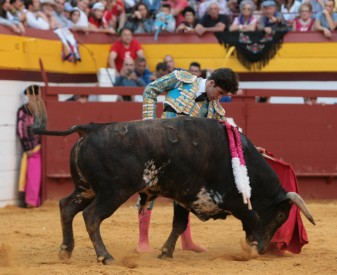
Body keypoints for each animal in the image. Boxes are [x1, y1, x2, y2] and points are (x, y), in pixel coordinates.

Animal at [30, 116, 314, 266]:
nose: (265, 250)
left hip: (85, 188)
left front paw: (165, 253)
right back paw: (105, 256)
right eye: (281, 216)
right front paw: (253, 248)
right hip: (113, 192)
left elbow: (179, 225)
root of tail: (91, 128)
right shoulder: (234, 200)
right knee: (91, 216)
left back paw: (66, 250)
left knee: (66, 206)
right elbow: (253, 217)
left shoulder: (184, 196)